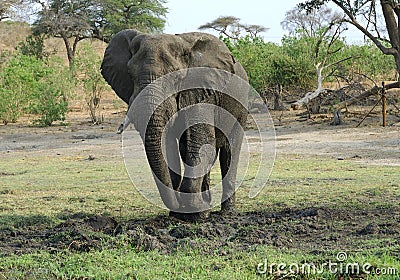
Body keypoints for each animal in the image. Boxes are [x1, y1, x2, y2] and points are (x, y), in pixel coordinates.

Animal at [101, 29, 248, 221]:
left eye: (175, 77)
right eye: (130, 75)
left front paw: (192, 213)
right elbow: (170, 148)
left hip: (241, 107)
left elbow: (202, 148)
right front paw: (184, 213)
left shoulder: (201, 91)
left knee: (230, 152)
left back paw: (226, 213)